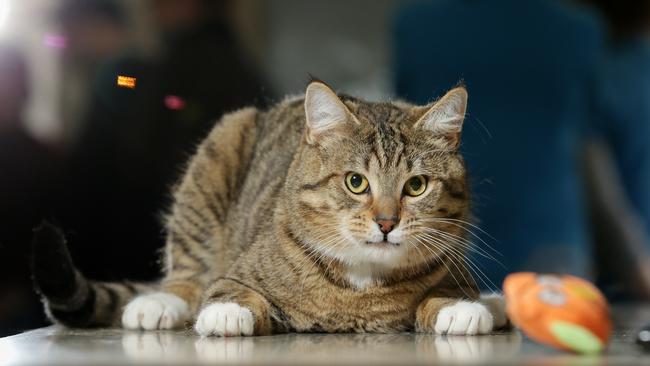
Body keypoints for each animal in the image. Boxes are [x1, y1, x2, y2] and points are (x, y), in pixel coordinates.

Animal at [33, 81, 504, 336]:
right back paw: (161, 303)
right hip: (216, 154)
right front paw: (227, 312)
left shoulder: (453, 271)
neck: (362, 288)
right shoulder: (238, 273)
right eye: (356, 182)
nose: (387, 222)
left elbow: (446, 294)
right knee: (188, 276)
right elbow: (230, 290)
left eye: (416, 186)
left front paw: (458, 308)